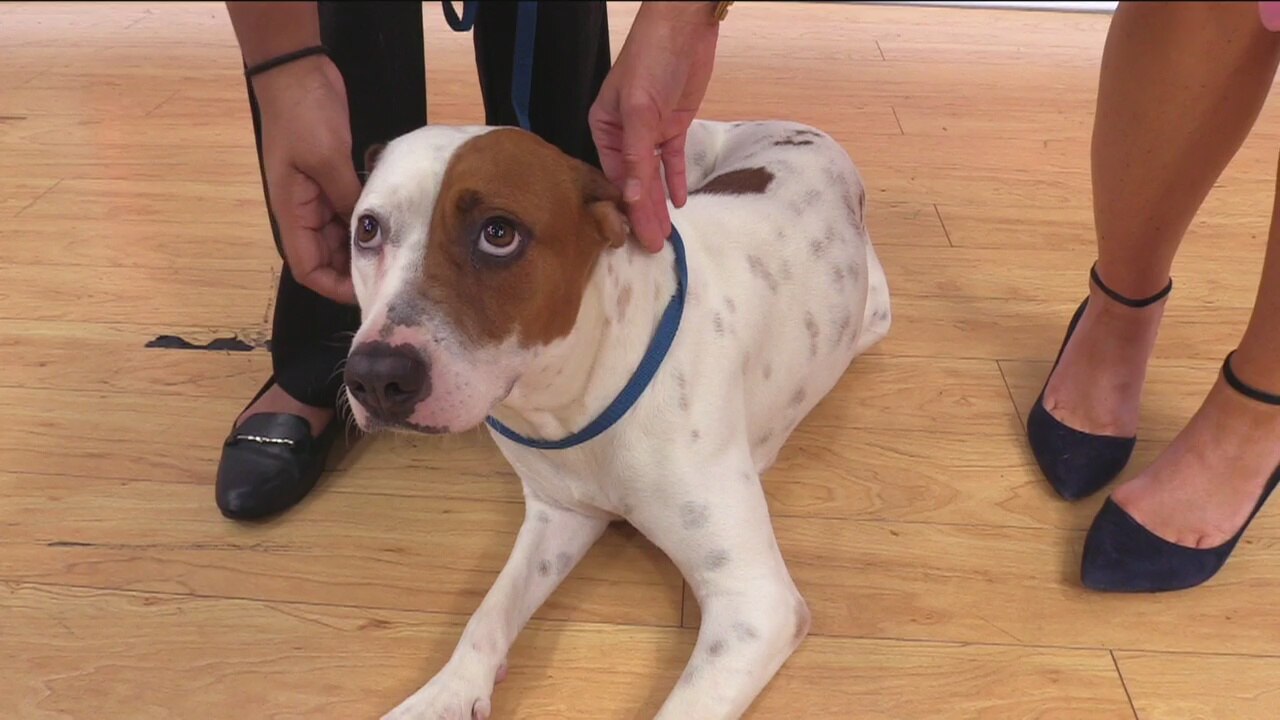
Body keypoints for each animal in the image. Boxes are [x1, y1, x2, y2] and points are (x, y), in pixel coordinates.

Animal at [342, 118, 891, 719]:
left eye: (498, 233)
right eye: (367, 229)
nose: (375, 376)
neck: (567, 401)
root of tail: (795, 125)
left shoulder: (754, 604)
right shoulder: (559, 516)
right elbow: (490, 610)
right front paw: (445, 693)